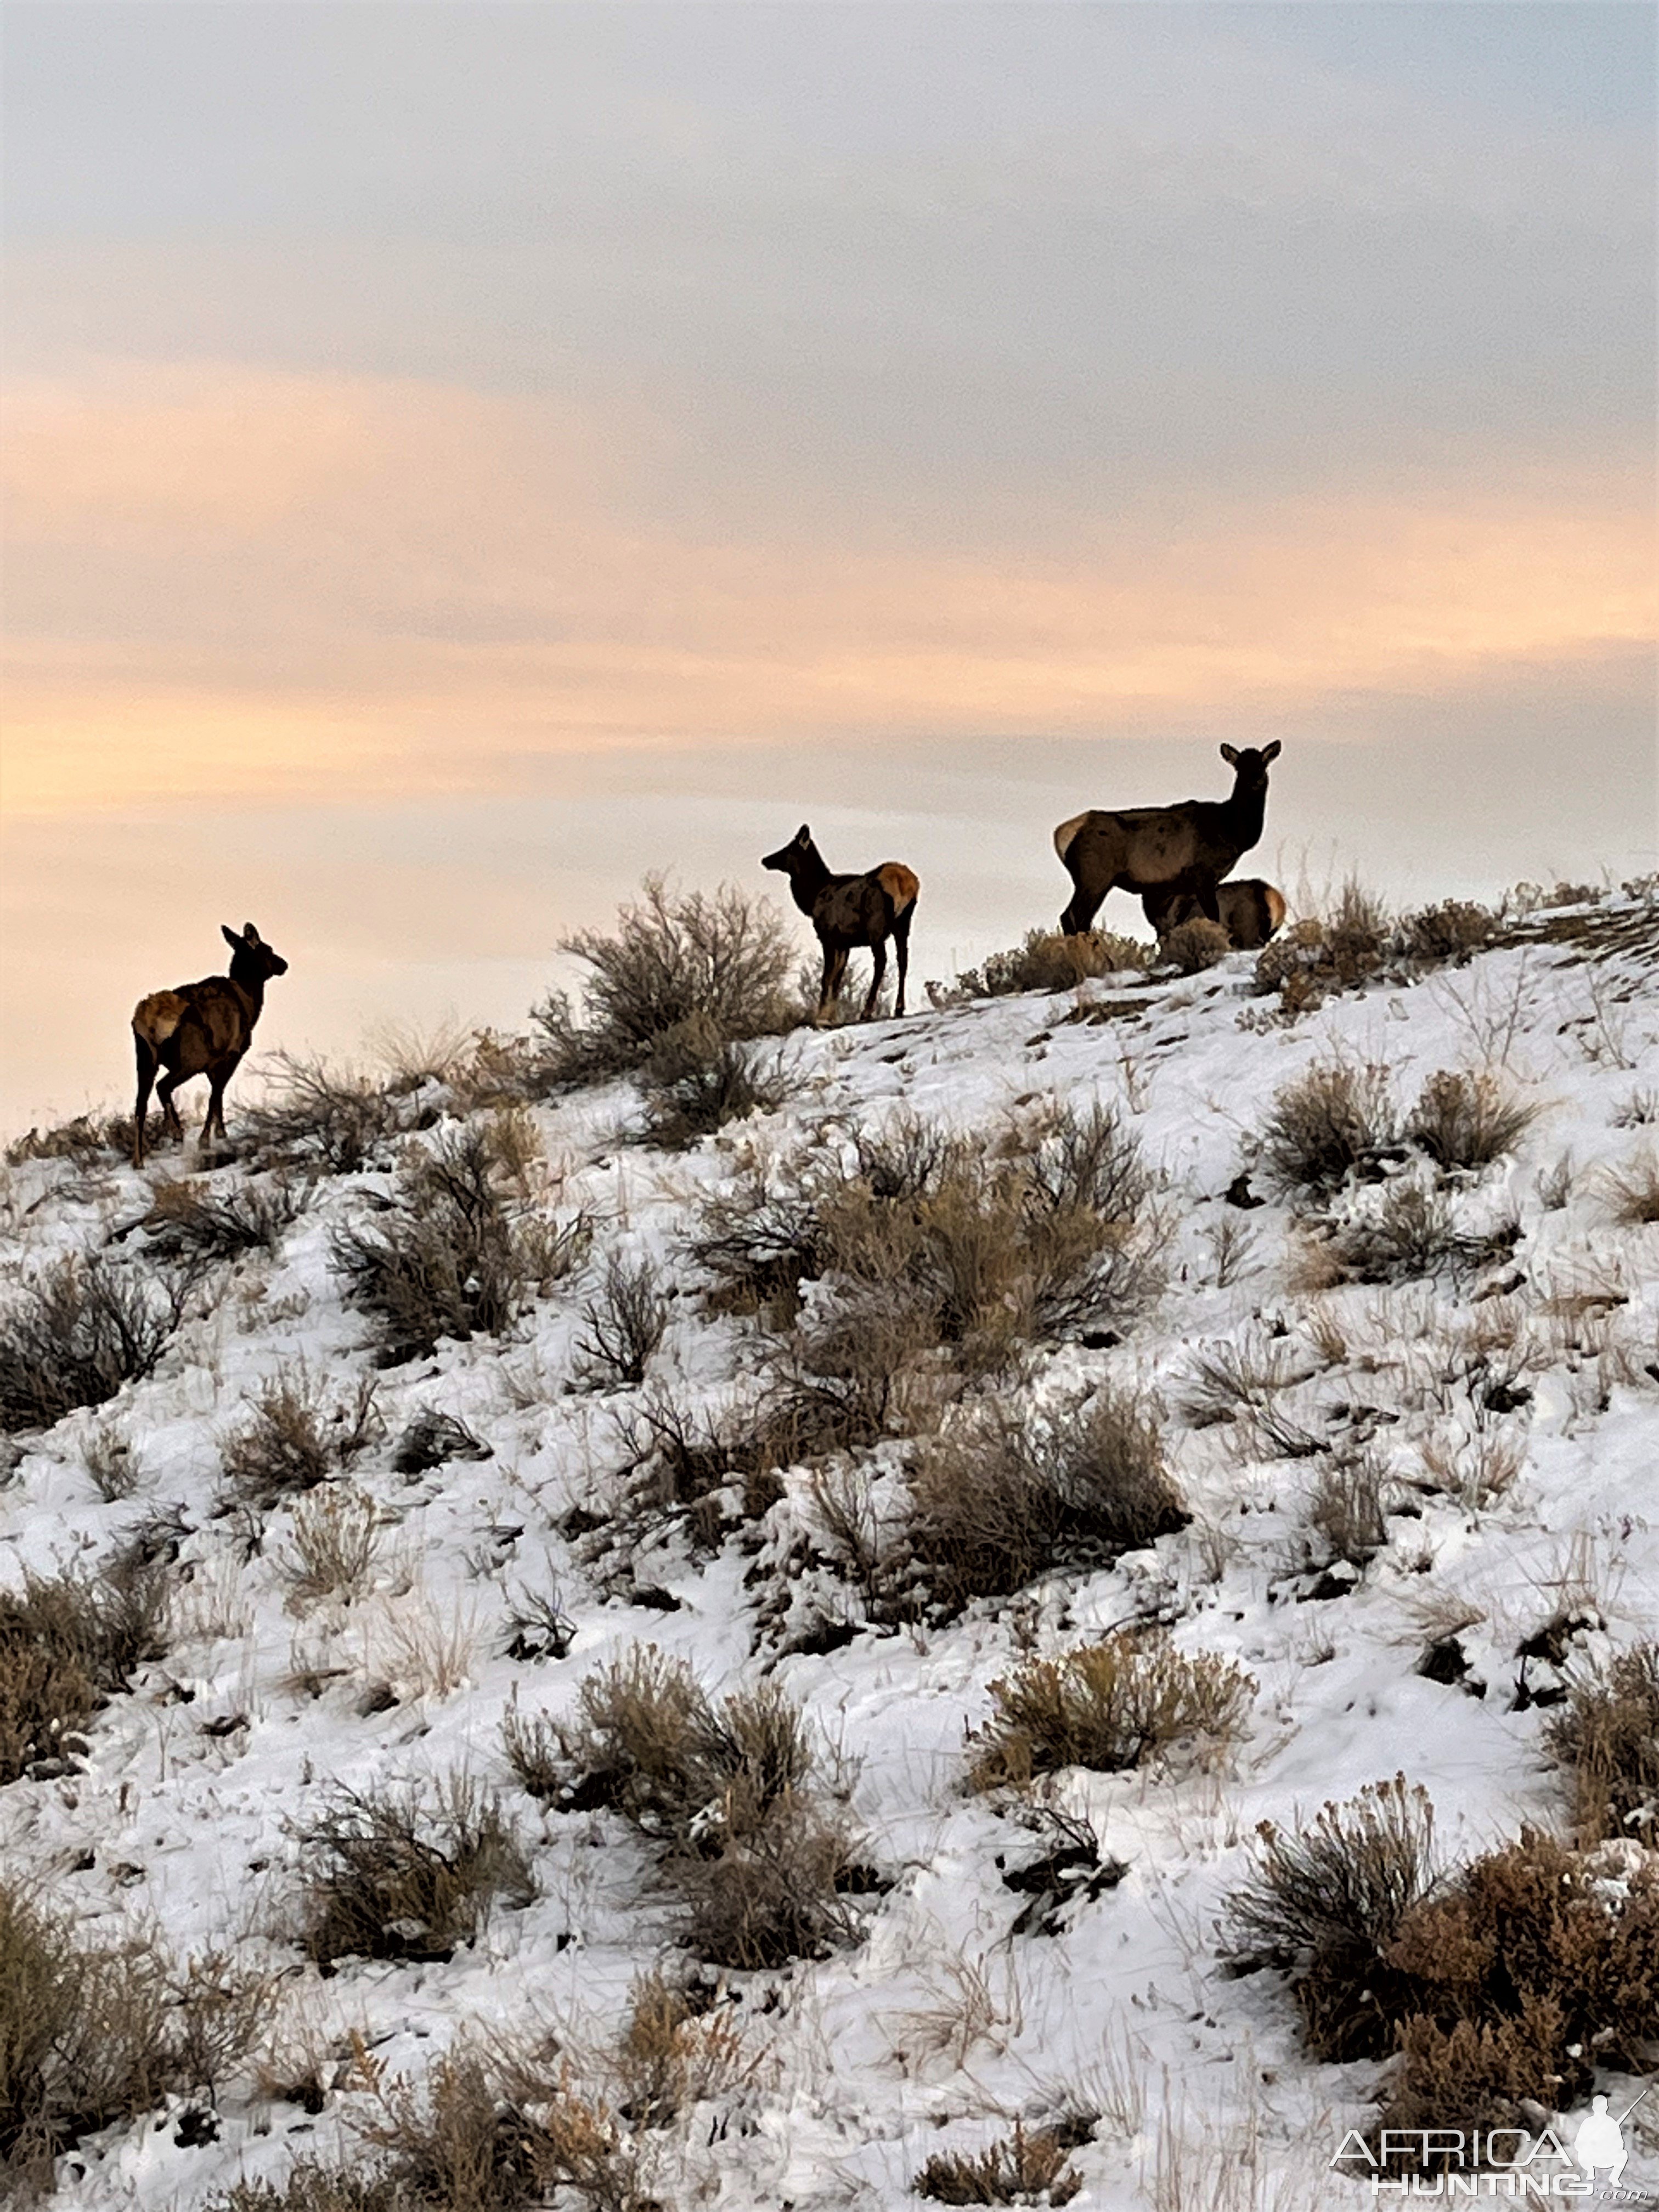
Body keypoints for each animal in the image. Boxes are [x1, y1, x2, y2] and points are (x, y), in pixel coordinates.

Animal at [131, 916, 290, 1167]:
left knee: (140, 1106)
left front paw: (221, 1133)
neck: (251, 1004)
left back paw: (139, 1161)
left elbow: (218, 1095)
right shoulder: (231, 1053)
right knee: (163, 1087)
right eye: (268, 949)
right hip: (190, 1059)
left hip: (145, 1058)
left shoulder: (213, 1063)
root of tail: (149, 1020)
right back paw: (177, 1135)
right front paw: (206, 1140)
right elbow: (217, 1093)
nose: (283, 964)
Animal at [765, 827, 924, 1022]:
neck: (812, 898)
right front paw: (831, 1014)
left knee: (881, 962)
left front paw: (821, 1015)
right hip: (903, 924)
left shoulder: (827, 936)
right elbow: (837, 978)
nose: (765, 860)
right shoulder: (844, 942)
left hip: (876, 926)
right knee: (903, 959)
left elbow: (826, 977)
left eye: (789, 849)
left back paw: (866, 1011)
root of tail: (905, 884)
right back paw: (899, 1008)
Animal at [1053, 747, 1283, 938]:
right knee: (1073, 917)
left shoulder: (1173, 889)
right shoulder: (1202, 875)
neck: (1231, 832)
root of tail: (1061, 834)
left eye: (1263, 764)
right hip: (1095, 877)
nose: (1254, 780)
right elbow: (1213, 918)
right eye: (1239, 767)